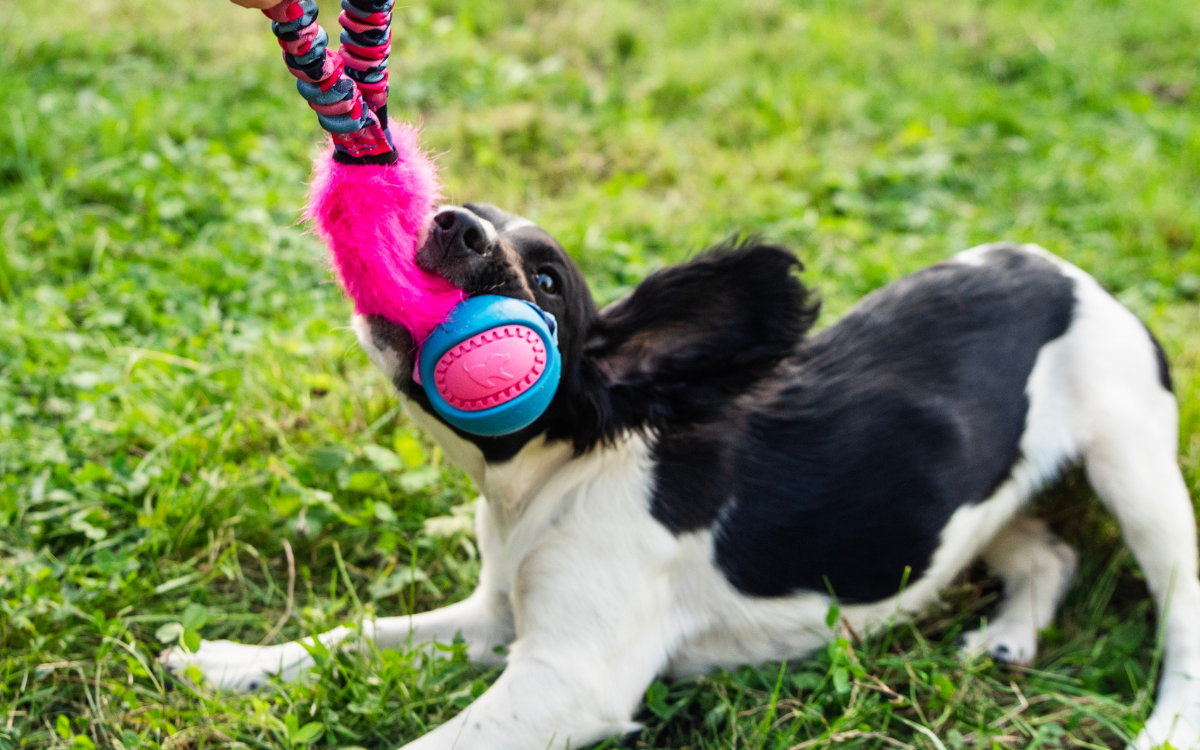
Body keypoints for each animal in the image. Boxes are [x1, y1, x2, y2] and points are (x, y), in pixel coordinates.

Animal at [164, 205, 1195, 748]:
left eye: (546, 284)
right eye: (463, 215)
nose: (451, 224)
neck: (560, 476)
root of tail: (1068, 274)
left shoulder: (568, 677)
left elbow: (441, 741)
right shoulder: (496, 619)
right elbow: (356, 635)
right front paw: (230, 663)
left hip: (1135, 465)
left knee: (1180, 604)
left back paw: (1168, 721)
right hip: (981, 496)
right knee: (1046, 549)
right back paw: (1009, 636)